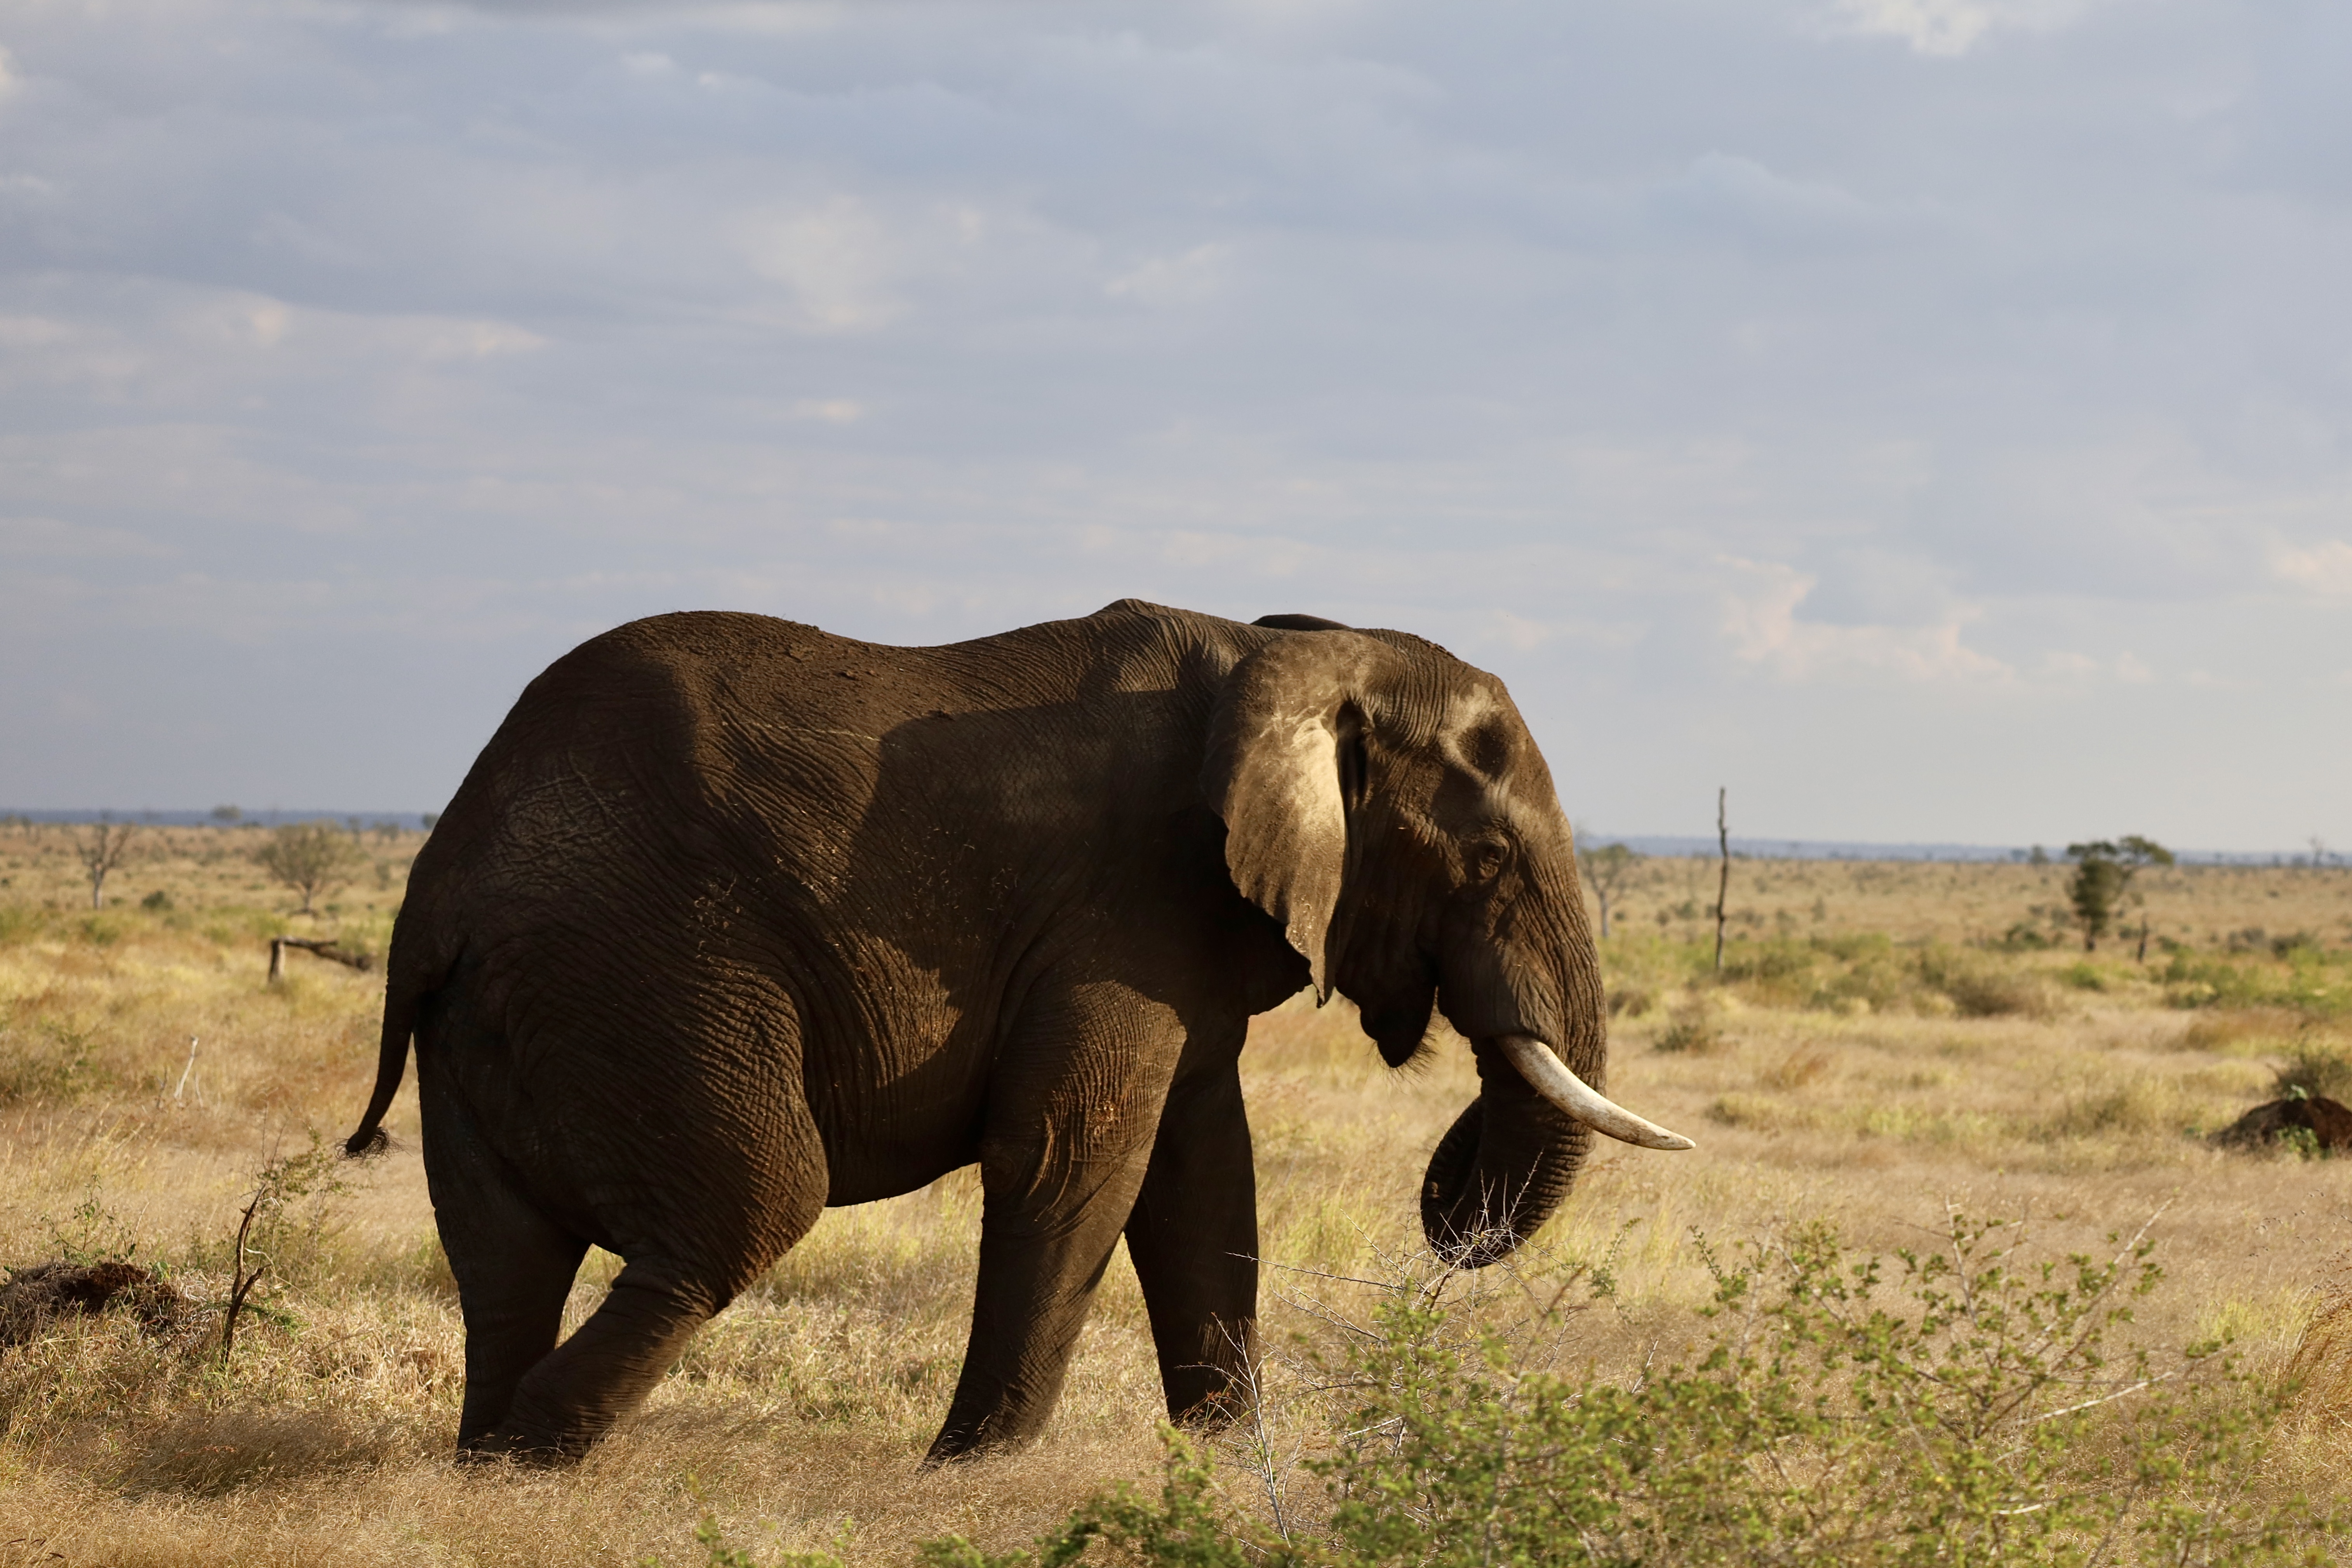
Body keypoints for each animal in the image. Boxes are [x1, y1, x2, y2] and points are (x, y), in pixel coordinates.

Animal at [343, 599, 1691, 1465]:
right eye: (1488, 857)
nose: (1446, 1196)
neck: (1294, 655)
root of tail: (443, 876)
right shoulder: (1119, 906)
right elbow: (1076, 1152)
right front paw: (973, 1473)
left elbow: (1207, 1176)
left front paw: (1231, 1468)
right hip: (644, 966)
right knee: (753, 1201)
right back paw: (536, 1456)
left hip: (512, 1009)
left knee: (505, 1255)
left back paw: (478, 1462)